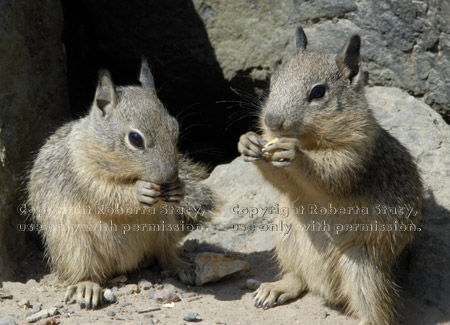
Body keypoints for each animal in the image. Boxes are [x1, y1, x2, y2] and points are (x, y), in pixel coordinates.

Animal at [27, 58, 217, 308]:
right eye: (135, 139)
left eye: (175, 128)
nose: (169, 177)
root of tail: (125, 264)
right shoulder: (82, 174)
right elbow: (107, 195)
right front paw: (139, 192)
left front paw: (179, 188)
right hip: (74, 244)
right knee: (83, 271)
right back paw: (87, 287)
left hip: (166, 227)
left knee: (164, 255)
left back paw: (181, 266)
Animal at [237, 26, 424, 324]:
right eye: (272, 83)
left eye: (318, 91)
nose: (272, 120)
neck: (308, 139)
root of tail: (324, 287)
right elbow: (283, 181)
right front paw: (247, 142)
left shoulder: (355, 152)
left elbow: (331, 173)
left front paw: (293, 154)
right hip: (287, 235)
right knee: (299, 278)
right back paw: (276, 288)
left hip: (361, 265)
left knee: (378, 309)